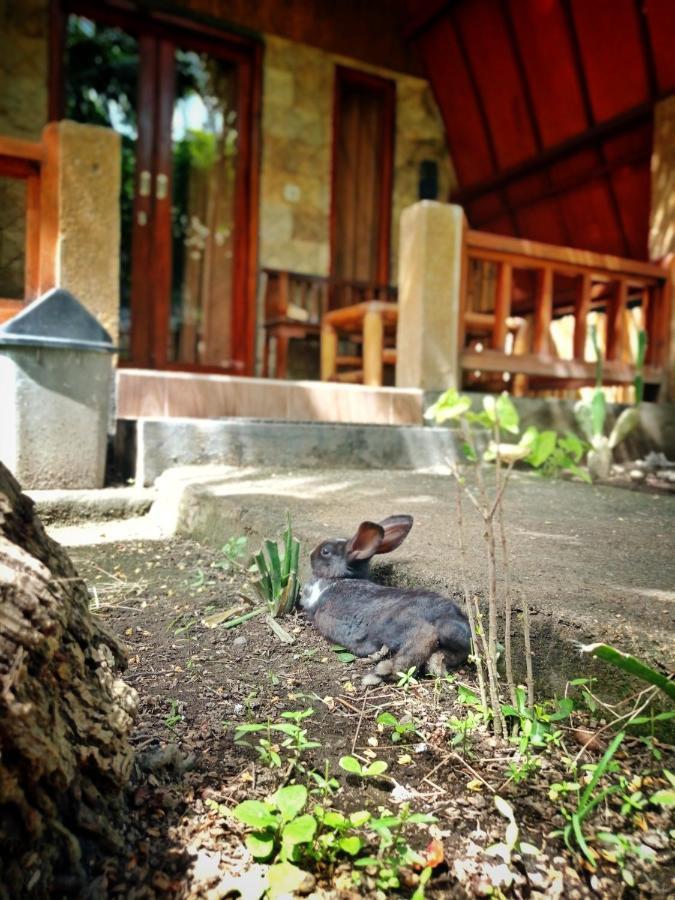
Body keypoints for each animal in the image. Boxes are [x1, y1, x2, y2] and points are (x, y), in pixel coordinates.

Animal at [302, 512, 470, 684]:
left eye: (325, 551)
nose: (310, 555)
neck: (338, 578)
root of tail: (451, 618)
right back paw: (435, 664)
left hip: (397, 624)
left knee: (424, 637)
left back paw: (382, 672)